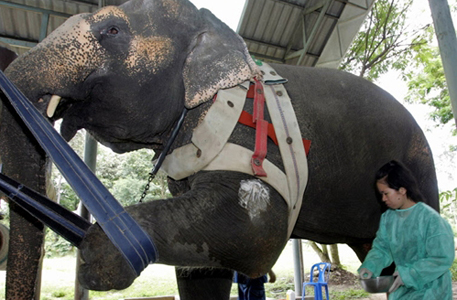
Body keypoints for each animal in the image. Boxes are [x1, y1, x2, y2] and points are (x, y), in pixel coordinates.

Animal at [0, 0, 436, 300]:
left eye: (111, 30)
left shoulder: (253, 135)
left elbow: (257, 234)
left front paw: (101, 251)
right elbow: (202, 270)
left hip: (419, 162)